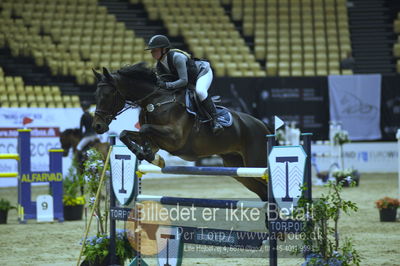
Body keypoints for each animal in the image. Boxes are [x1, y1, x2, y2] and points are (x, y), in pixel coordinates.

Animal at [91, 62, 272, 200]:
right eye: (95, 95)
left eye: (107, 95)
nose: (97, 126)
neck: (155, 100)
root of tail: (262, 125)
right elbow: (125, 134)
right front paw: (149, 155)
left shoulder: (175, 138)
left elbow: (144, 129)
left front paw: (149, 154)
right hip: (237, 166)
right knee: (263, 193)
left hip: (255, 163)